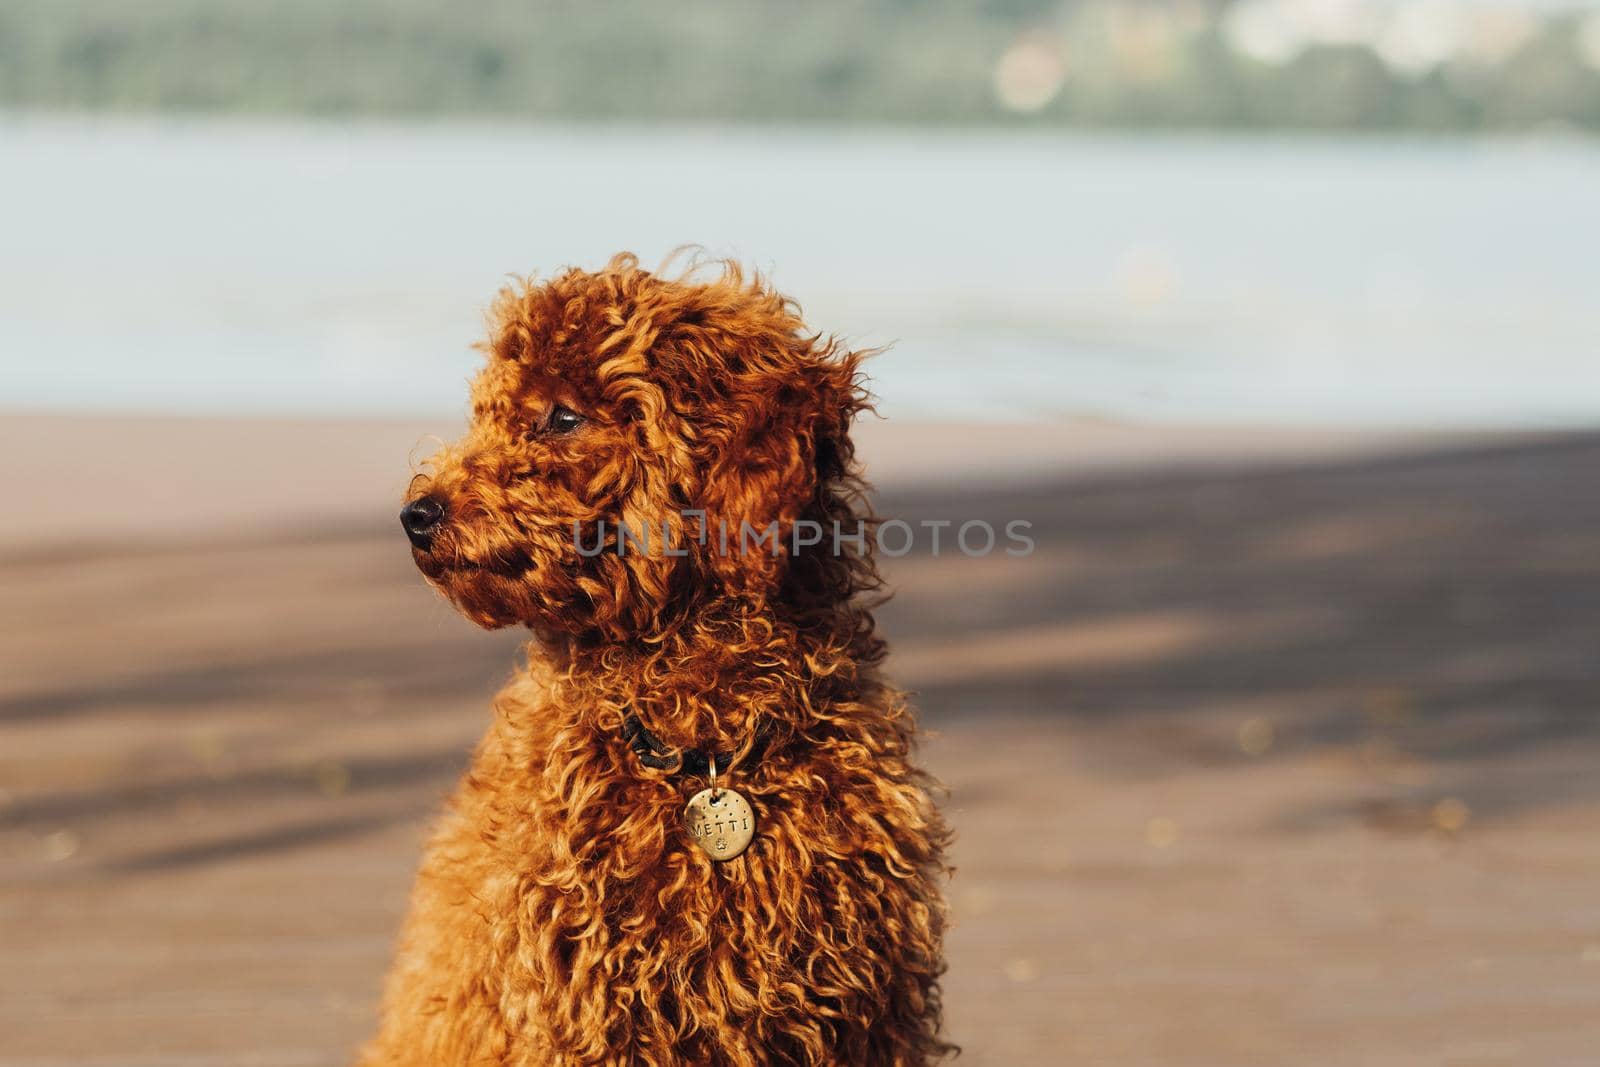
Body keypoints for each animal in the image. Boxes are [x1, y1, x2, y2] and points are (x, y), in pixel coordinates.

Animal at [366, 254, 947, 1062]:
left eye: (563, 417)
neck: (699, 749)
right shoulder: (578, 1010)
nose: (417, 515)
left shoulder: (862, 1009)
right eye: (488, 411)